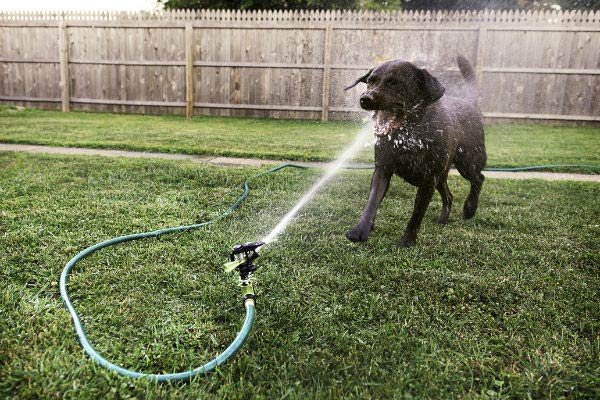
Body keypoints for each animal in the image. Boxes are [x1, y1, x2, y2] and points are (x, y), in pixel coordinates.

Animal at [344, 56, 486, 247]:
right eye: (371, 81)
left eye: (395, 83)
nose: (365, 98)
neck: (409, 134)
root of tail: (468, 102)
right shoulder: (383, 169)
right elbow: (372, 202)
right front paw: (360, 231)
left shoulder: (428, 179)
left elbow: (417, 214)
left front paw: (407, 241)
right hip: (441, 176)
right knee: (449, 196)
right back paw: (443, 219)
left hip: (467, 162)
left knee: (479, 178)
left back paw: (470, 208)